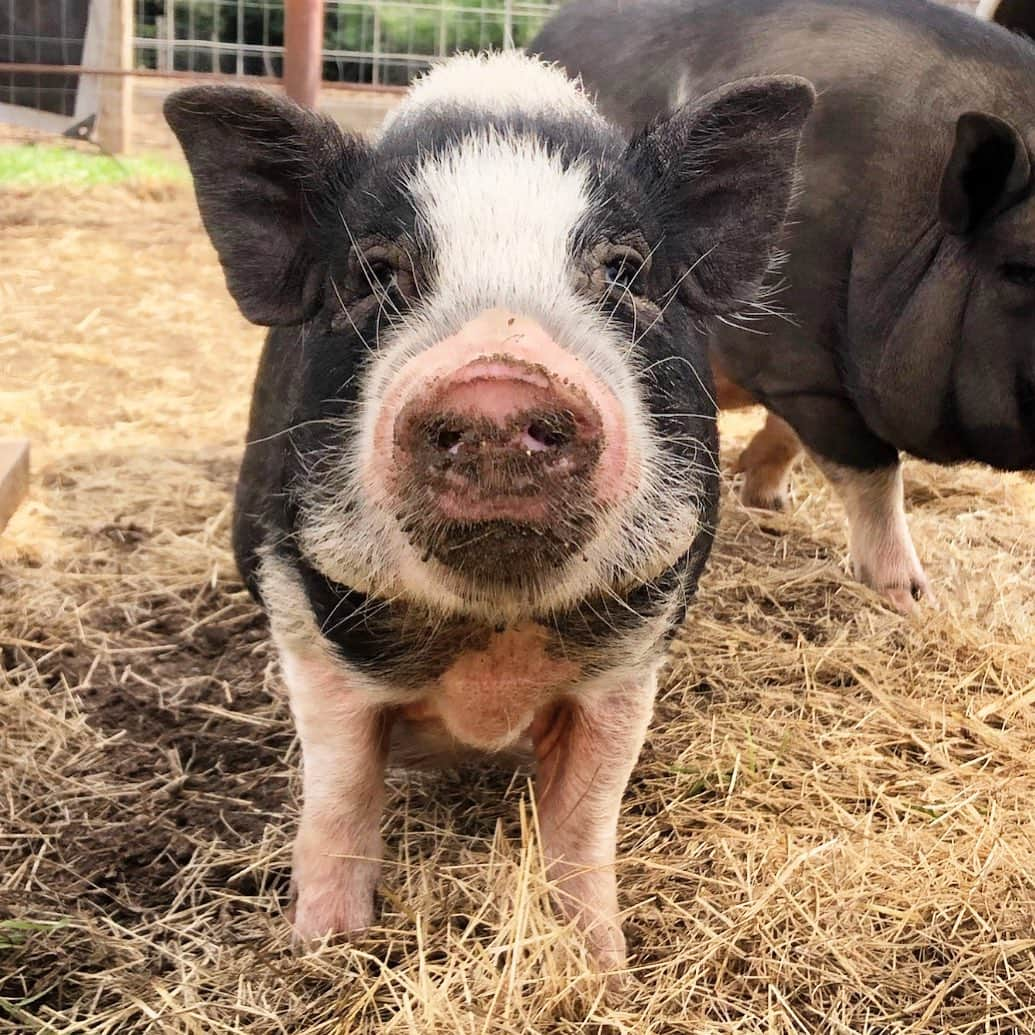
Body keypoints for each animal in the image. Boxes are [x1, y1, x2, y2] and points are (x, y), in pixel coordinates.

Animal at [161, 50, 811, 968]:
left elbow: (584, 816)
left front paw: (602, 965)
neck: (493, 645)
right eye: (376, 273)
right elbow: (340, 794)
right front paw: (326, 949)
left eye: (624, 269)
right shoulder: (303, 621)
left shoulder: (632, 653)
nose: (498, 388)